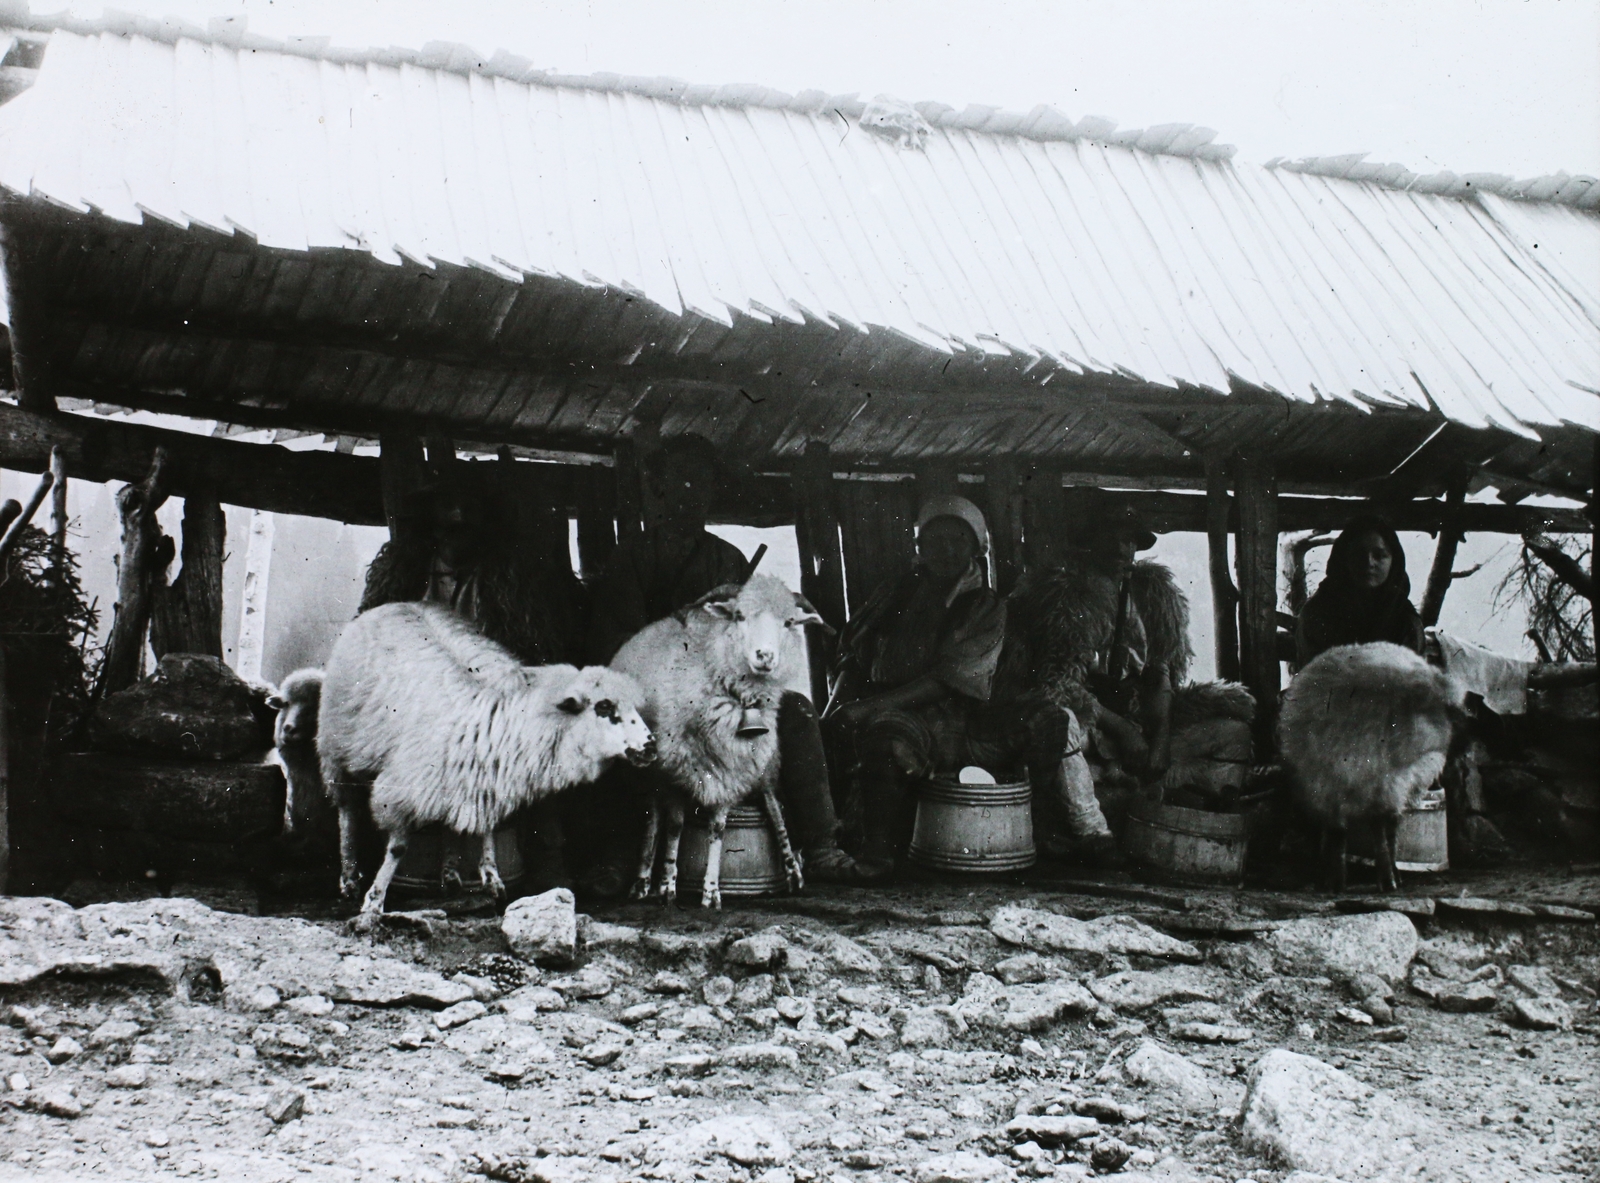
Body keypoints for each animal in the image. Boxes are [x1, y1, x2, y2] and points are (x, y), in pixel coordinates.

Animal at [318, 605, 656, 928]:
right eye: (604, 708)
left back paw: (450, 875)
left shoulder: (487, 776)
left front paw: (492, 876)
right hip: (335, 747)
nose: (651, 747)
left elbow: (488, 826)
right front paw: (374, 900)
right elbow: (398, 848)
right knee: (347, 811)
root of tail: (387, 606)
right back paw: (349, 877)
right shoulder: (404, 786)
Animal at [611, 579, 832, 909]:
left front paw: (712, 890)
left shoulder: (732, 769)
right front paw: (667, 885)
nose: (765, 655)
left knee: (773, 806)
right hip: (649, 771)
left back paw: (793, 871)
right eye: (739, 616)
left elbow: (718, 828)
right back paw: (643, 880)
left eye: (789, 622)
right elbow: (675, 826)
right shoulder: (675, 771)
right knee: (654, 819)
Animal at [1273, 643, 1465, 890]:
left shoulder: (1384, 789)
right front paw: (1334, 881)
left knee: (1390, 830)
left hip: (1395, 787)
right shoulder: (1325, 788)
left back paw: (1393, 875)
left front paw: (1386, 879)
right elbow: (1337, 833)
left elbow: (1381, 835)